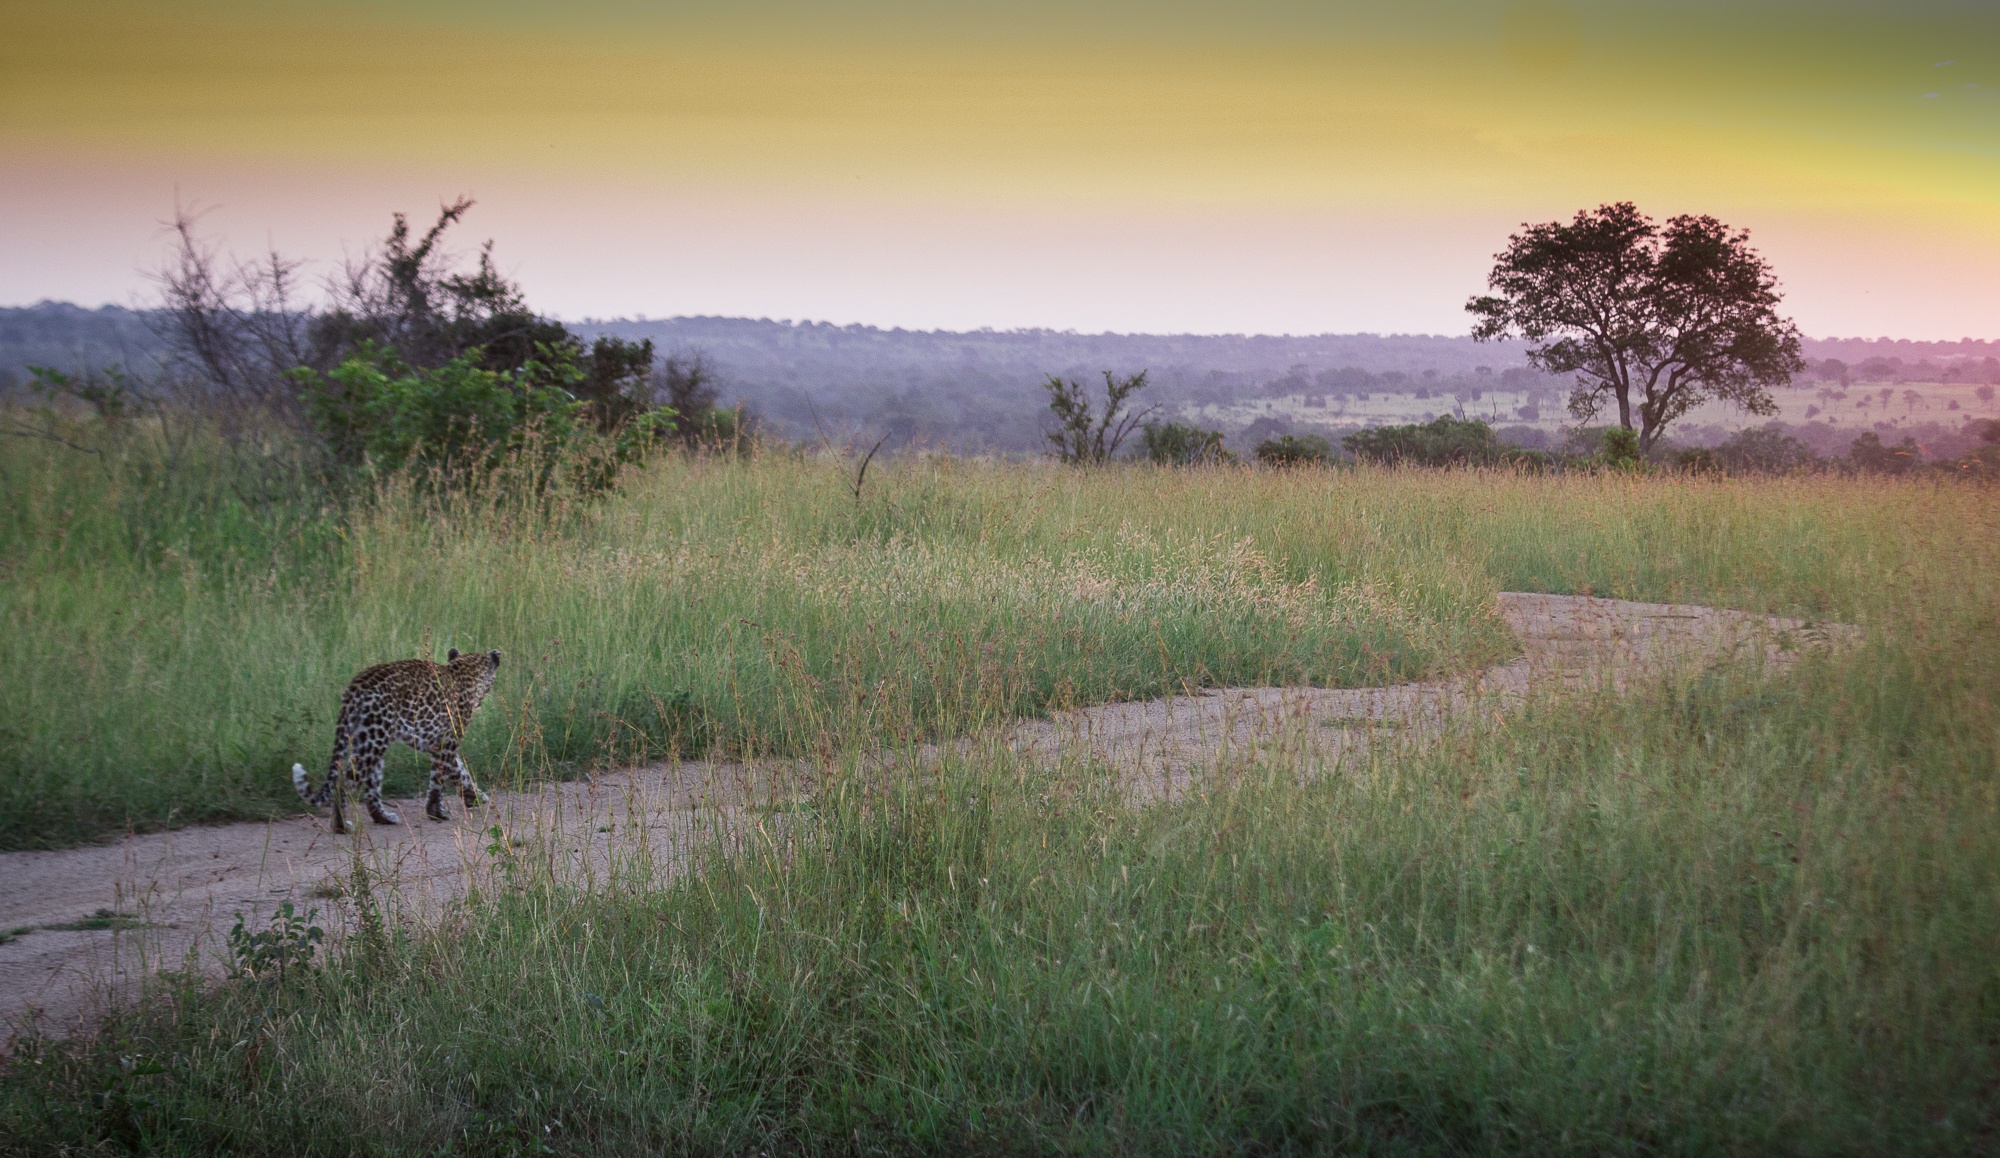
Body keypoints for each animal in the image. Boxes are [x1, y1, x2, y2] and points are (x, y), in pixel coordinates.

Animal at [292, 648, 502, 833]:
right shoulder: (447, 743)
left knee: (372, 786)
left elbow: (460, 772)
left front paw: (475, 796)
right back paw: (341, 826)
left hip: (368, 738)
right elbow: (440, 780)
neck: (465, 670)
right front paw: (438, 812)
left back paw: (384, 817)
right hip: (374, 740)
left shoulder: (438, 744)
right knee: (344, 783)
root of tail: (355, 686)